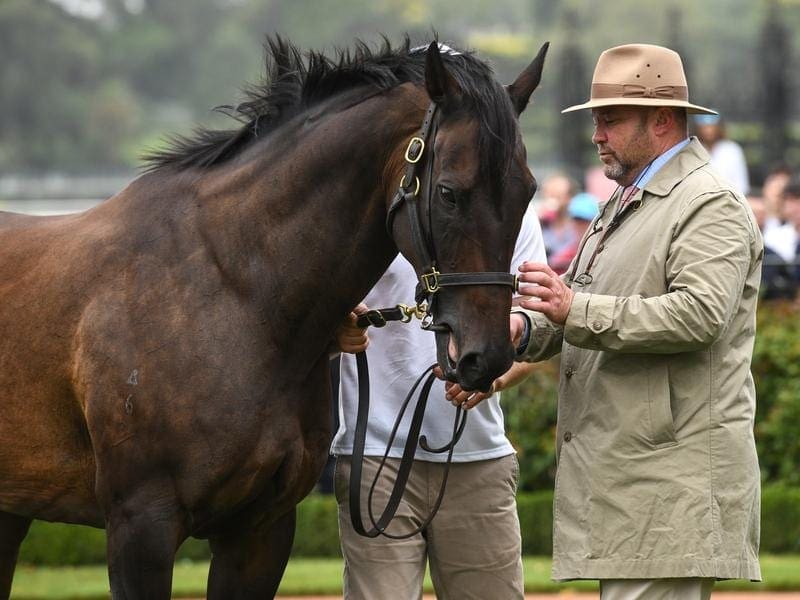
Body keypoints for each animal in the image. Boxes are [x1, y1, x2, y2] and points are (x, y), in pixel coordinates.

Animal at [0, 38, 544, 600]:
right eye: (449, 192)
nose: (485, 355)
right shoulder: (139, 527)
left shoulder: (261, 530)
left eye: (527, 191)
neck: (232, 292)